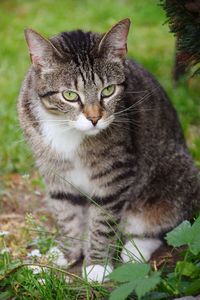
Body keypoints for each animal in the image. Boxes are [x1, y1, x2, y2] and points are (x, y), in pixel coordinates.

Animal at [17, 19, 200, 284]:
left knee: (161, 227)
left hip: (173, 180)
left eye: (108, 90)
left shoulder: (115, 173)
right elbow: (66, 213)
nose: (94, 118)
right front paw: (66, 254)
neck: (66, 128)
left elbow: (103, 221)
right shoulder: (54, 172)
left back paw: (134, 251)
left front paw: (96, 265)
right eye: (69, 95)